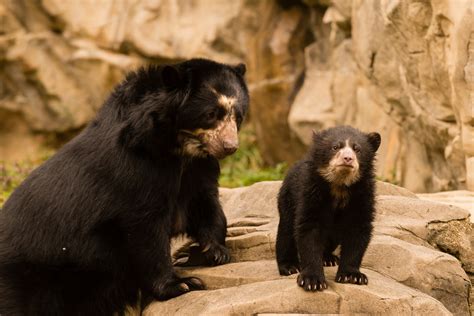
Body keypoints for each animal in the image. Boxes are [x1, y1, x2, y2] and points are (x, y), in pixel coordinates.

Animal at [0, 58, 250, 314]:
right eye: (211, 114)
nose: (230, 146)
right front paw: (181, 284)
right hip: (26, 276)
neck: (178, 147)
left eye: (238, 116)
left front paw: (214, 252)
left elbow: (205, 203)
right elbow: (145, 231)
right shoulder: (136, 169)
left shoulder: (197, 169)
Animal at [276, 125, 380, 292]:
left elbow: (358, 230)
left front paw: (352, 276)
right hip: (288, 197)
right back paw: (290, 266)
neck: (340, 185)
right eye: (335, 147)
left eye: (357, 149)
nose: (348, 159)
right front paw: (312, 281)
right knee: (286, 231)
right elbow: (309, 229)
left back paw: (329, 258)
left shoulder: (362, 195)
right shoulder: (311, 192)